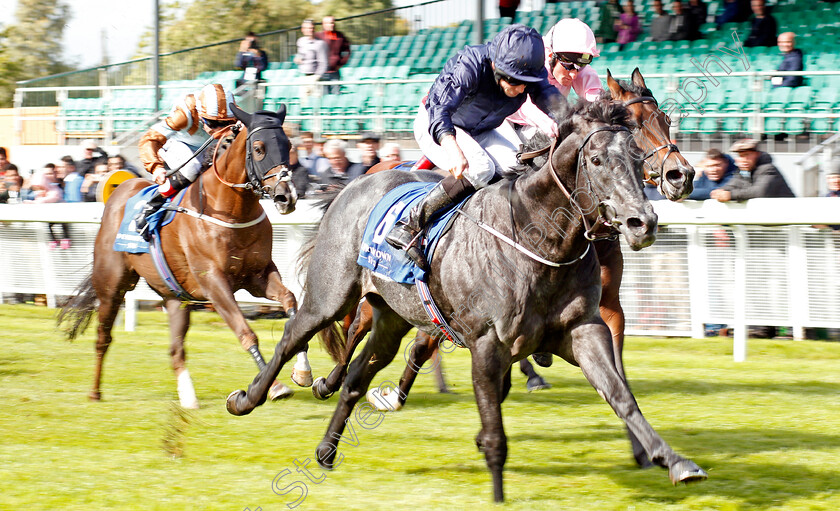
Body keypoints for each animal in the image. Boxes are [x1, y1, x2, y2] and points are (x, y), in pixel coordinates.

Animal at [60, 106, 308, 410]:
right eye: (259, 148)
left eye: (289, 147)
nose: (287, 197)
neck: (231, 210)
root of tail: (119, 191)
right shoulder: (214, 282)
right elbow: (245, 331)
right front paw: (271, 386)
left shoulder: (257, 276)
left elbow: (290, 301)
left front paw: (302, 371)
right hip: (112, 286)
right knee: (103, 337)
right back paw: (95, 392)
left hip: (176, 297)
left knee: (175, 349)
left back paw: (188, 398)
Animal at [308, 70, 696, 470]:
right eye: (636, 124)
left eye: (666, 119)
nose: (681, 175)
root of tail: (372, 169)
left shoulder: (605, 310)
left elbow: (616, 375)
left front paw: (644, 449)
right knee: (356, 325)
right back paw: (329, 381)